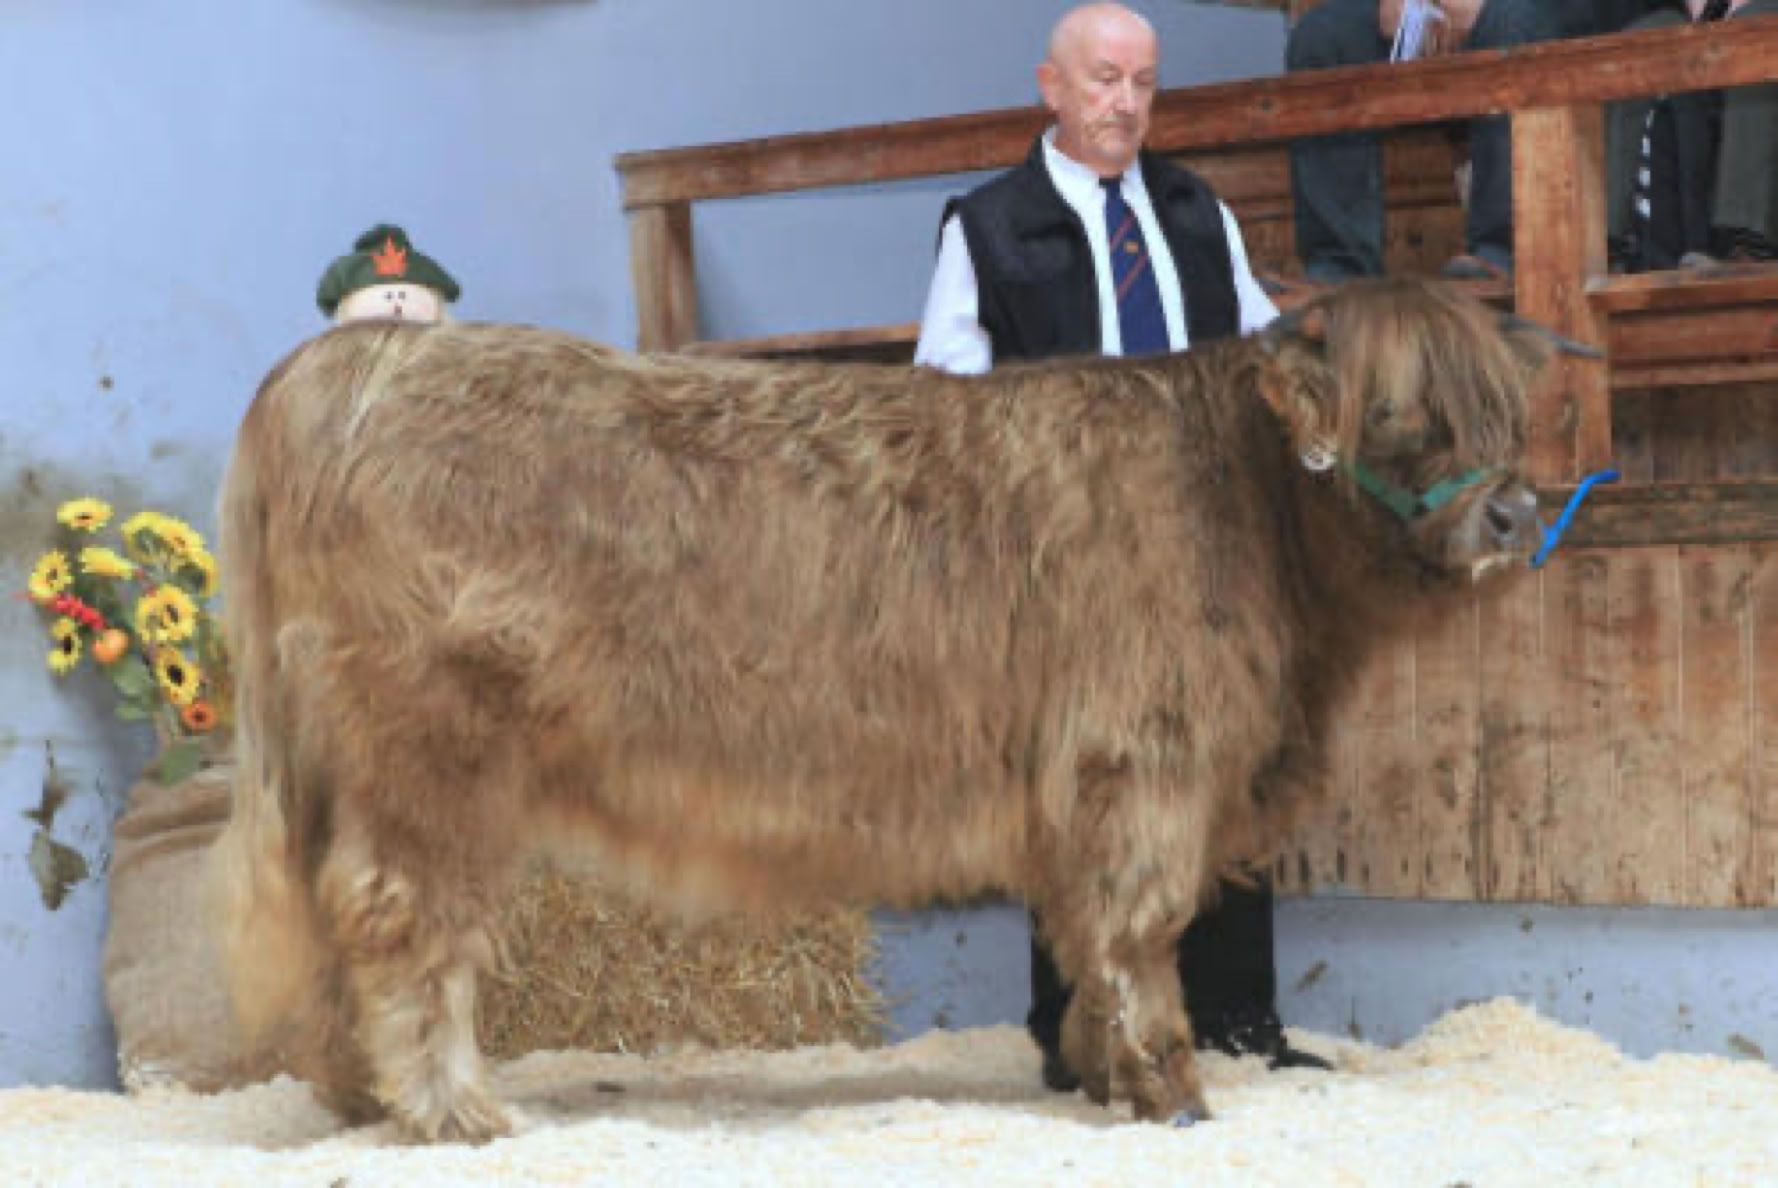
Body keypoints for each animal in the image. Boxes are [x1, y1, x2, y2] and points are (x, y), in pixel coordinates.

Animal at [212, 277, 1561, 1143]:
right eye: (1391, 407)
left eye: (1502, 407)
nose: (1511, 513)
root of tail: (365, 360)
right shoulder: (1142, 760)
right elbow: (1138, 929)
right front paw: (1168, 1088)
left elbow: (1079, 931)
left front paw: (1092, 1073)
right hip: (427, 753)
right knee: (399, 914)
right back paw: (452, 1110)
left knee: (335, 914)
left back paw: (360, 1097)